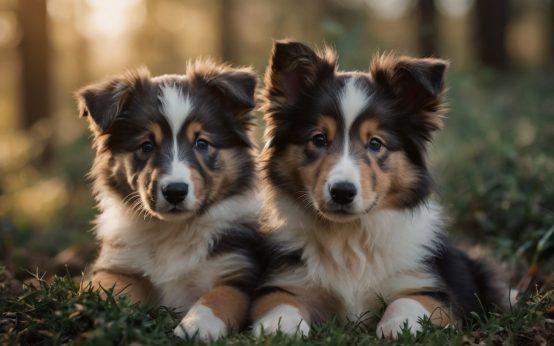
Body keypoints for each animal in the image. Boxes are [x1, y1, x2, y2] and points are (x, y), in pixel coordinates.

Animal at [75, 60, 260, 340]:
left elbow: (218, 297)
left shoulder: (238, 273)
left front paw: (196, 326)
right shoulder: (118, 266)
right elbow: (103, 286)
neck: (173, 230)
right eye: (146, 146)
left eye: (202, 143)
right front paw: (89, 308)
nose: (175, 191)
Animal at [250, 41, 504, 340]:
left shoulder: (432, 287)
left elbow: (407, 300)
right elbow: (279, 301)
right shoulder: (285, 279)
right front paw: (278, 327)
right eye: (319, 139)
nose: (342, 192)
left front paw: (398, 325)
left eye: (375, 143)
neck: (349, 236)